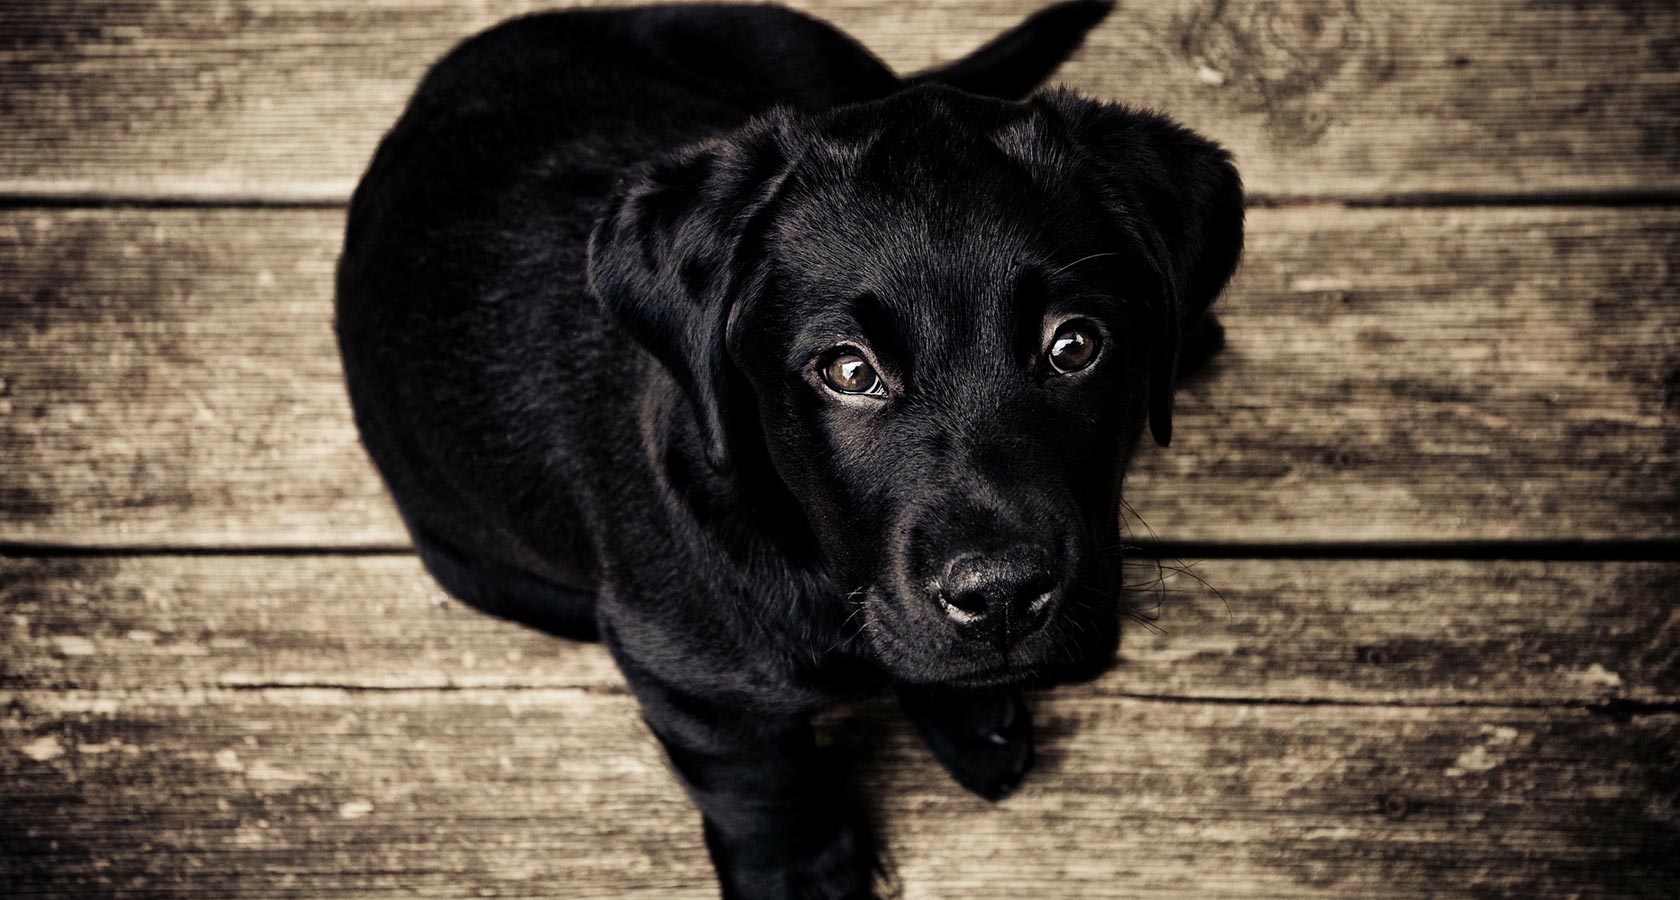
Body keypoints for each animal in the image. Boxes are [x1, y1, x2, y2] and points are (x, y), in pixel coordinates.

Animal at [334, 3, 1243, 893]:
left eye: (1075, 346)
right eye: (848, 370)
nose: (1002, 599)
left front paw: (968, 710)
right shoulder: (683, 676)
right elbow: (758, 780)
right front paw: (801, 871)